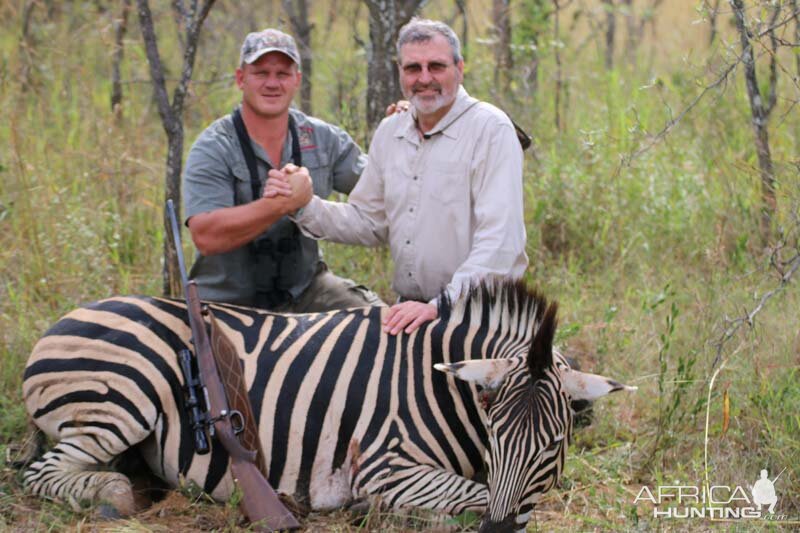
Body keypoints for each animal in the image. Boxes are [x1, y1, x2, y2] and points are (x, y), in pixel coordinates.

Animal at [21, 276, 636, 528]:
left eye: (554, 445)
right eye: (494, 433)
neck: (440, 387)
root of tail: (64, 318)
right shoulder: (385, 465)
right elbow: (477, 494)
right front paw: (380, 512)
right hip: (120, 404)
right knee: (42, 472)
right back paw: (113, 495)